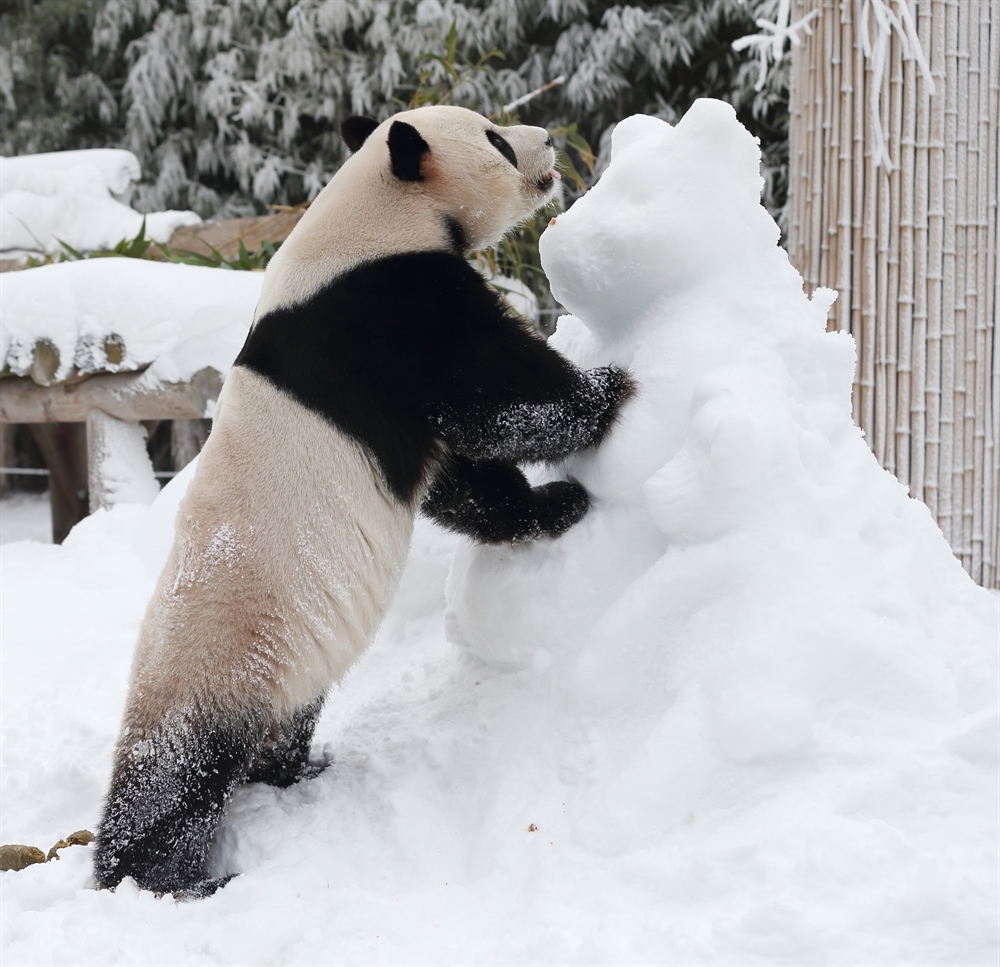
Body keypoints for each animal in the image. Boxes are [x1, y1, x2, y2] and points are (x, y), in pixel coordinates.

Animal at [95, 102, 632, 896]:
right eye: (496, 141)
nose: (546, 144)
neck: (374, 209)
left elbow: (458, 478)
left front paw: (544, 505)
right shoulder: (390, 311)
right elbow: (493, 395)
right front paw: (606, 395)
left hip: (284, 669)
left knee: (281, 730)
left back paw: (297, 773)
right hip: (217, 657)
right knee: (176, 774)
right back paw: (165, 879)